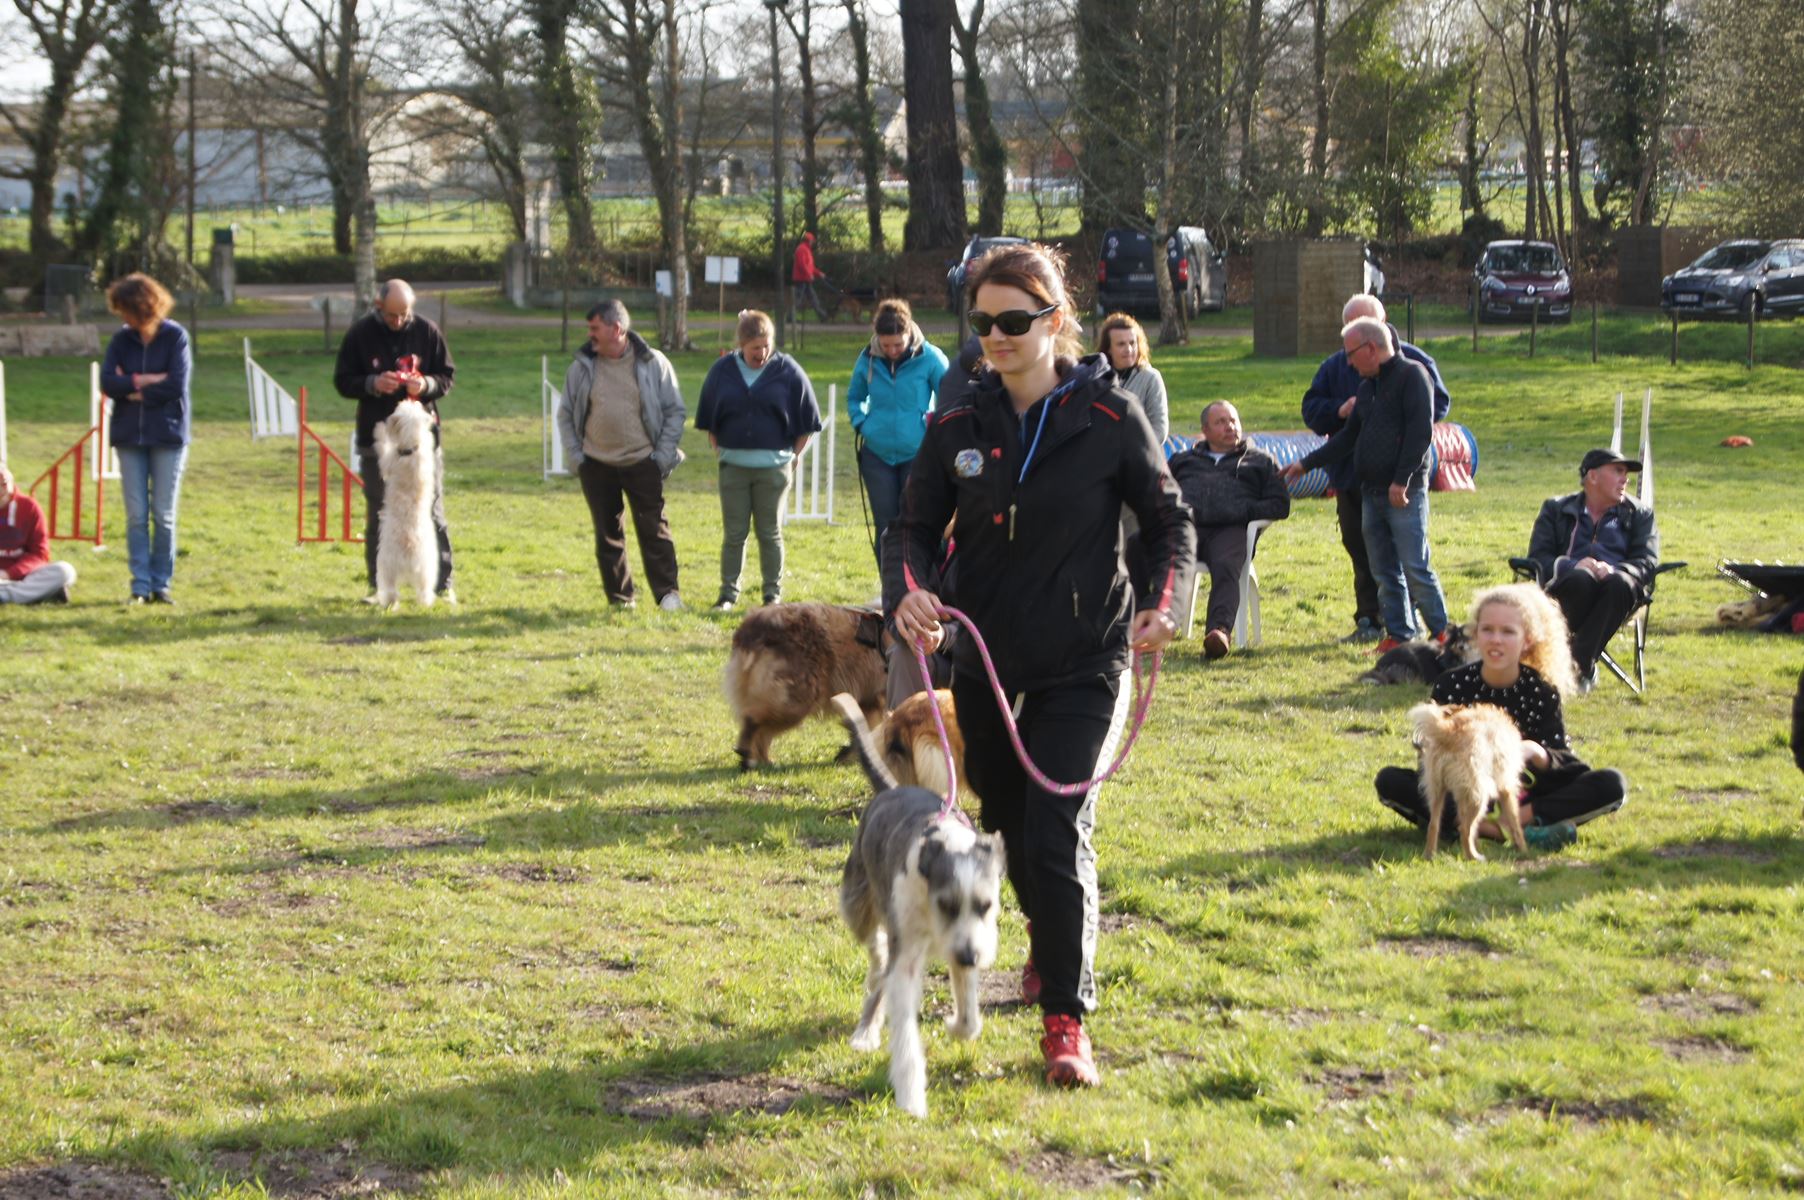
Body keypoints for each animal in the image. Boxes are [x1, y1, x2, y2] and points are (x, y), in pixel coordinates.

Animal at [371, 402, 441, 609]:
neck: (412, 449)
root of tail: (410, 552)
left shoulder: (388, 461)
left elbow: (383, 447)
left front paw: (379, 429)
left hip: (385, 565)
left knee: (391, 590)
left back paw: (387, 603)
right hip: (428, 570)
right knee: (424, 590)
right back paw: (427, 603)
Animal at [717, 599, 887, 768]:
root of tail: (750, 630)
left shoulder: (868, 700)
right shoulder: (875, 698)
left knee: (761, 730)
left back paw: (762, 761)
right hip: (795, 698)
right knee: (754, 720)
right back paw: (748, 753)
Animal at [833, 692, 1010, 1111]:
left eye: (986, 906)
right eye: (946, 904)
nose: (970, 957)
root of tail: (889, 789)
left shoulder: (965, 941)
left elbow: (969, 1015)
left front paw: (956, 1026)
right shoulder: (909, 955)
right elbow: (906, 1040)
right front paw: (912, 1099)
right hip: (856, 905)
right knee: (879, 955)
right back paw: (865, 1031)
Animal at [1407, 703, 1522, 862]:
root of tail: (1448, 732)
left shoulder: (1462, 795)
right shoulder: (1505, 785)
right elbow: (1514, 820)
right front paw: (1524, 849)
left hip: (1437, 789)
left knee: (1434, 824)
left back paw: (1430, 855)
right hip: (1478, 794)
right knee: (1465, 828)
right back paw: (1473, 857)